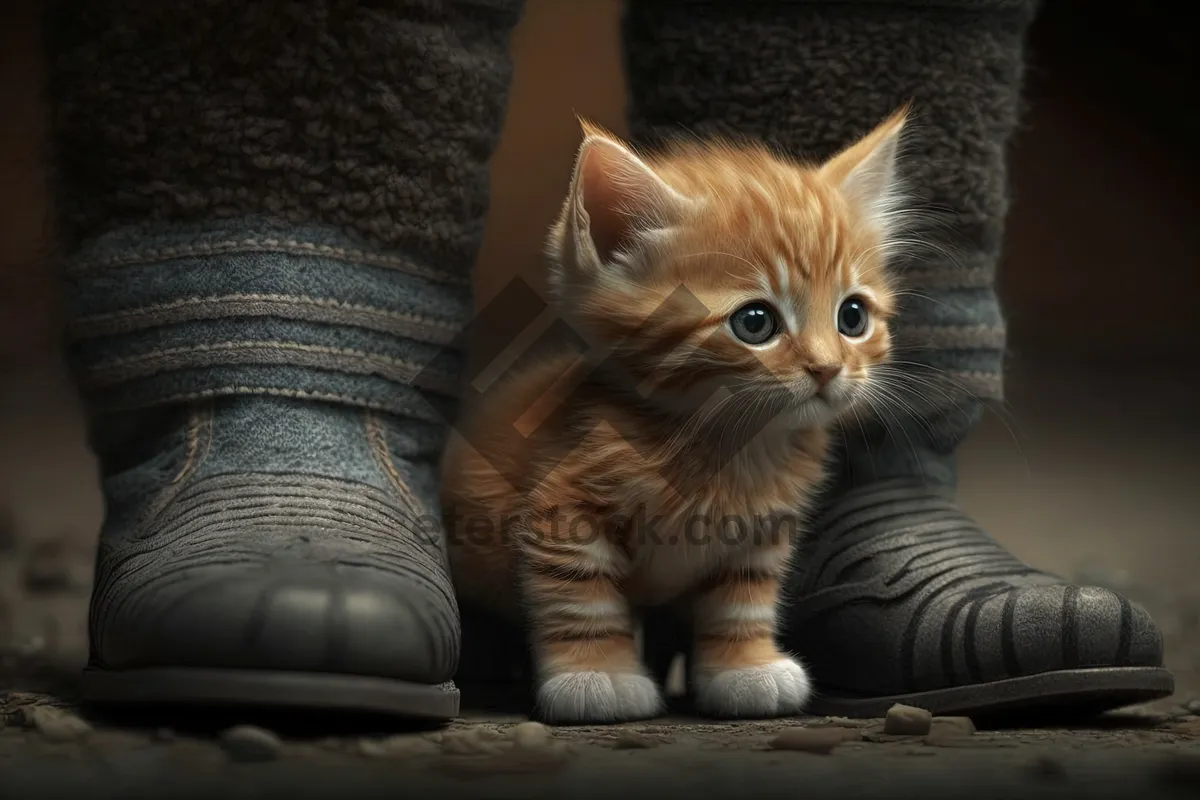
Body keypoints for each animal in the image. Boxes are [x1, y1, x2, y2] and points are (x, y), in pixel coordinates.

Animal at [446, 107, 902, 724]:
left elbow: (741, 600)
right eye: (755, 323)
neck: (725, 448)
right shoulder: (563, 511)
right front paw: (597, 676)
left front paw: (745, 666)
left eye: (852, 316)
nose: (829, 368)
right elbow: (579, 596)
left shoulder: (760, 532)